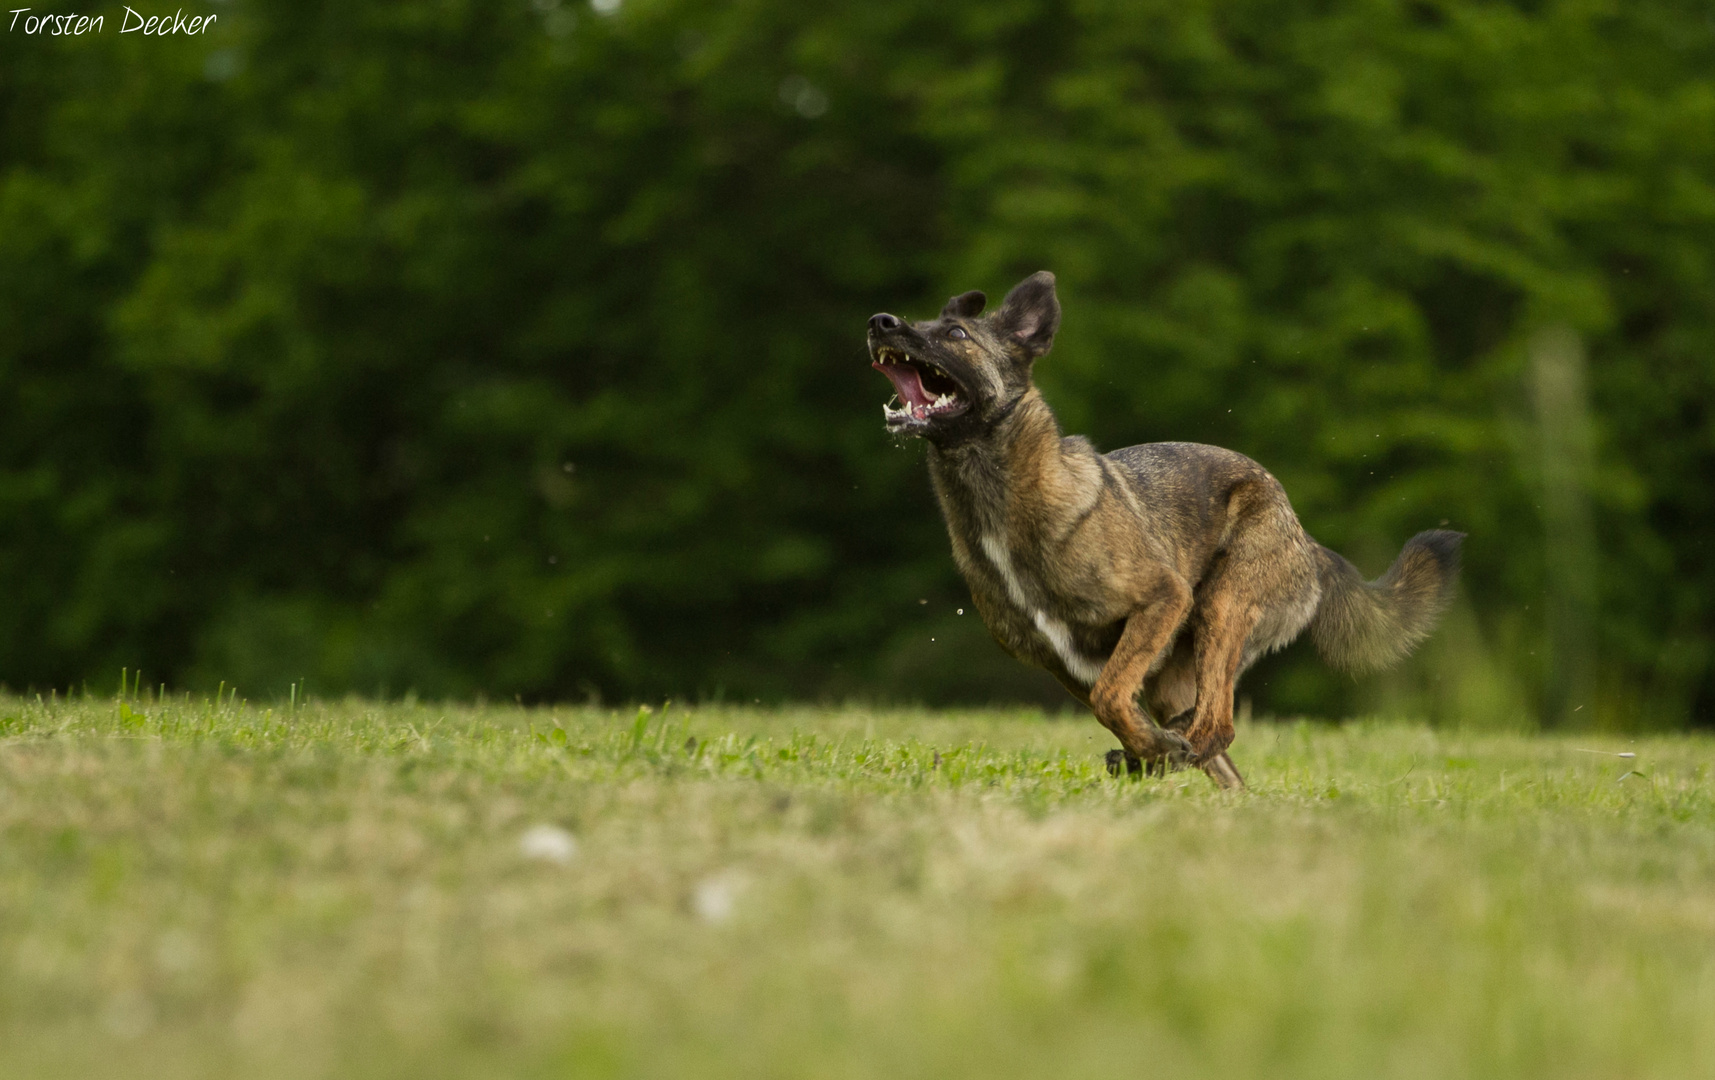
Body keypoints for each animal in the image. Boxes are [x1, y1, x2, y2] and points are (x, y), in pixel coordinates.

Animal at [871, 274, 1461, 792]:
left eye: (955, 335)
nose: (880, 322)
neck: (1003, 497)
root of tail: (1306, 542)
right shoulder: (1064, 662)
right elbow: (1112, 705)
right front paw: (1148, 751)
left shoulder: (1162, 597)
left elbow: (1111, 698)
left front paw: (1152, 751)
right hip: (1175, 671)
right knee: (1220, 754)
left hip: (1221, 606)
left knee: (1217, 726)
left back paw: (1169, 751)